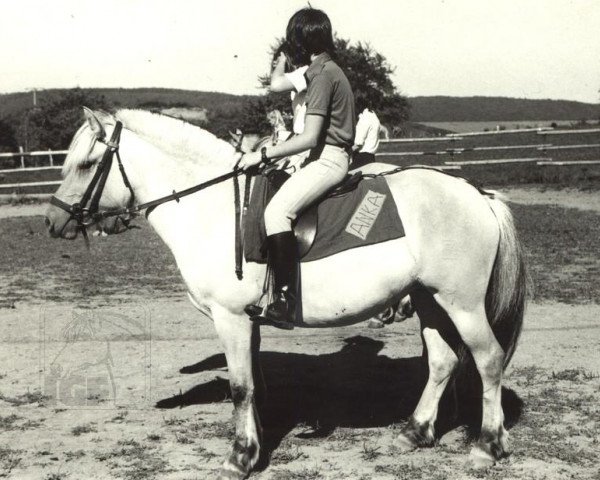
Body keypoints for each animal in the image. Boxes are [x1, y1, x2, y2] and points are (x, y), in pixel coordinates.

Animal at [44, 109, 528, 480]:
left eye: (86, 164)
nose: (52, 221)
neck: (212, 209)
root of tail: (478, 195)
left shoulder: (231, 318)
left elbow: (240, 386)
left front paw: (239, 458)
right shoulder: (248, 320)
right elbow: (254, 384)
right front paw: (255, 445)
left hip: (462, 304)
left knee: (488, 360)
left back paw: (487, 446)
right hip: (429, 300)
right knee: (443, 361)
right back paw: (415, 432)